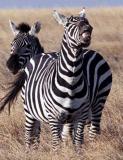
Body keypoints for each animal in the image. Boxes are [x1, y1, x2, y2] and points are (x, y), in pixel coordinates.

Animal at [0, 10, 112, 151]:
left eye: (28, 45)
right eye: (11, 44)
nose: (11, 65)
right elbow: (63, 135)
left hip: (99, 100)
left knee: (92, 130)